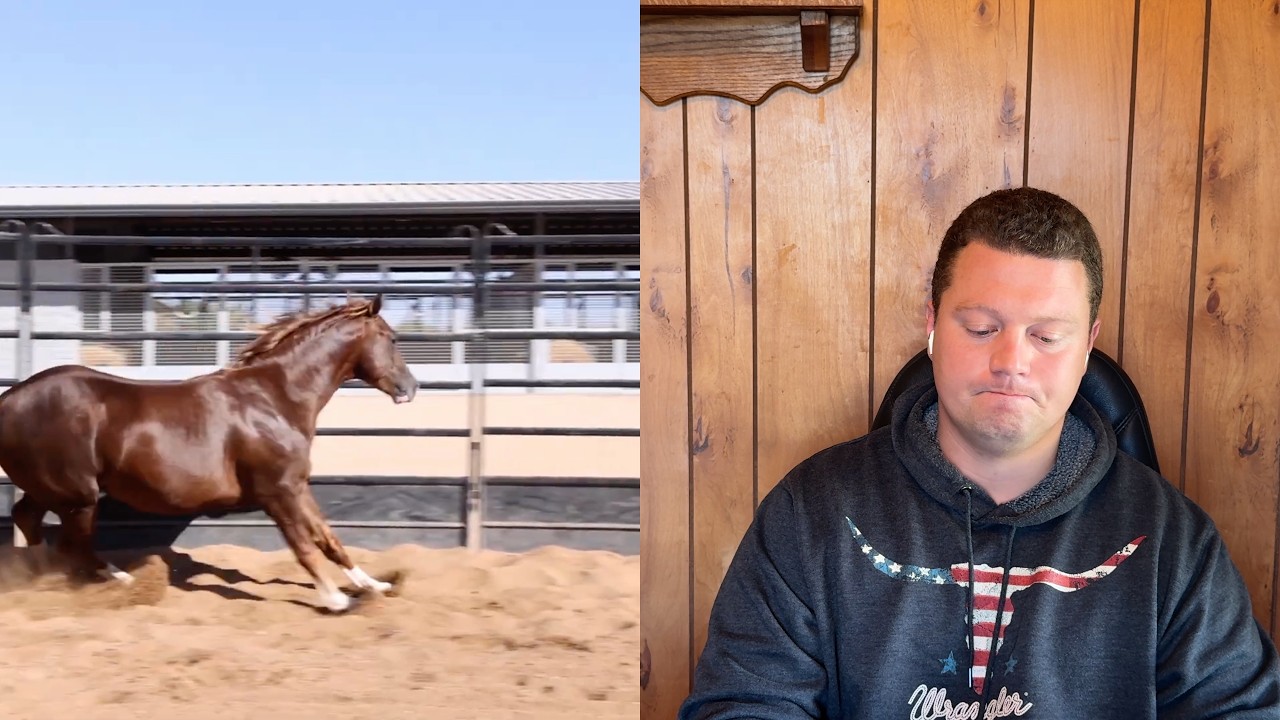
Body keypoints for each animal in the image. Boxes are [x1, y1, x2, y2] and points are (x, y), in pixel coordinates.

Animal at [0, 294, 418, 613]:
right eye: (392, 338)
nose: (410, 387)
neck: (274, 398)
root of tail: (9, 400)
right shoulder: (276, 493)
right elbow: (303, 547)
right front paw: (336, 600)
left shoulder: (297, 487)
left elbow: (330, 540)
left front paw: (375, 586)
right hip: (79, 497)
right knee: (73, 545)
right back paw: (122, 579)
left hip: (50, 491)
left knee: (29, 521)